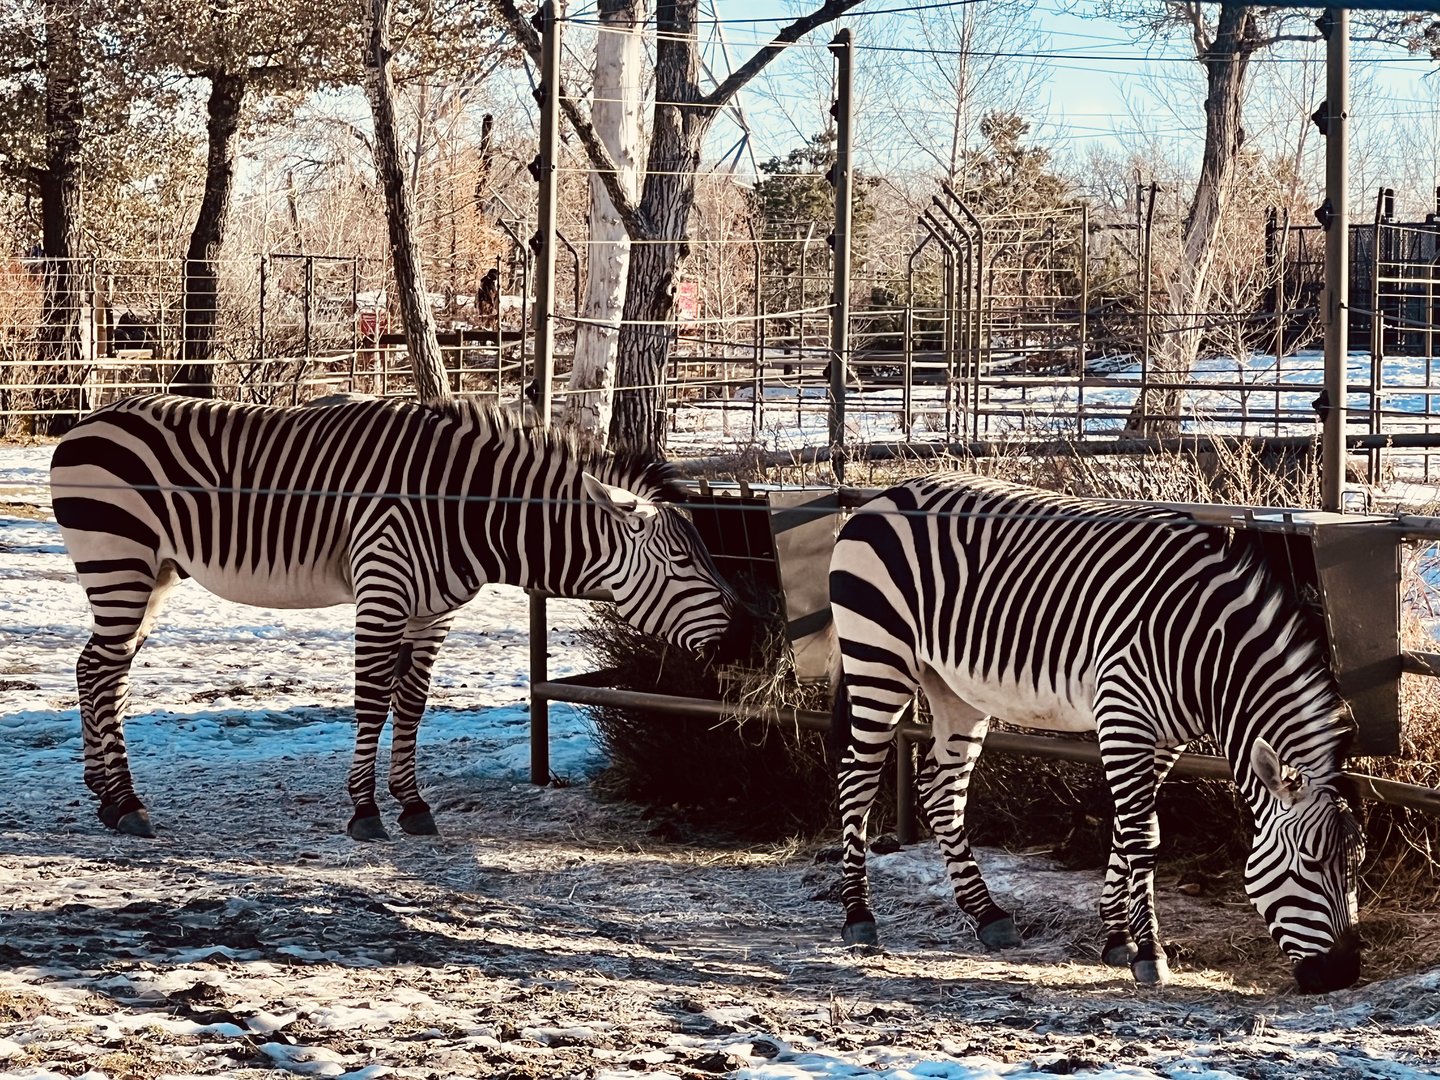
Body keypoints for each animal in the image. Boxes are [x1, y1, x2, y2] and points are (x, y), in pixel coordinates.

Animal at [50, 394, 753, 841]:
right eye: (684, 561)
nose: (747, 635)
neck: (466, 508)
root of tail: (83, 424)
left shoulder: (432, 612)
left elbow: (410, 705)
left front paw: (412, 805)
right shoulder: (382, 590)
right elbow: (370, 702)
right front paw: (364, 812)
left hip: (155, 573)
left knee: (98, 671)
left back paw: (109, 800)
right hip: (120, 561)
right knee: (102, 670)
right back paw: (125, 802)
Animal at [829, 473, 1364, 994]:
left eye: (1356, 867)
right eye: (1311, 864)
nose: (1342, 976)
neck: (1205, 654)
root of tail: (885, 494)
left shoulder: (1166, 738)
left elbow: (1126, 830)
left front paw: (1116, 936)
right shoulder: (1122, 715)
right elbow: (1143, 835)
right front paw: (1149, 953)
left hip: (954, 687)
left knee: (941, 791)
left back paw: (988, 914)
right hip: (878, 658)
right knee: (858, 780)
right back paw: (859, 917)